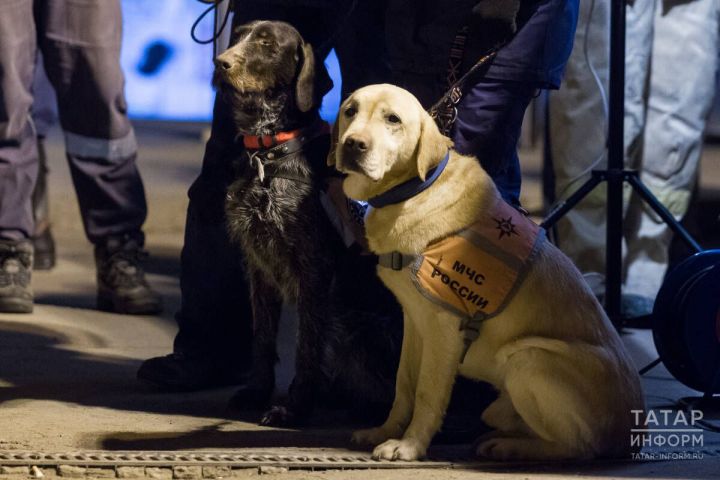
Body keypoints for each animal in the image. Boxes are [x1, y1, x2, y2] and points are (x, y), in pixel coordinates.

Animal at [217, 18, 402, 426]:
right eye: (237, 36)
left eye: (267, 44)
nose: (220, 62)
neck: (269, 154)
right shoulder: (258, 264)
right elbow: (263, 337)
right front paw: (257, 392)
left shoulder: (313, 268)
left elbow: (307, 345)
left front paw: (294, 407)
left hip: (355, 322)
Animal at [330, 84, 644, 464]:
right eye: (350, 110)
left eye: (393, 119)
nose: (353, 144)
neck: (417, 191)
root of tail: (632, 435)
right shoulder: (414, 322)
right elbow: (403, 386)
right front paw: (385, 431)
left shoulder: (444, 330)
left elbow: (427, 393)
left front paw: (409, 446)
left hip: (528, 358)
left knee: (578, 448)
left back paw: (509, 446)